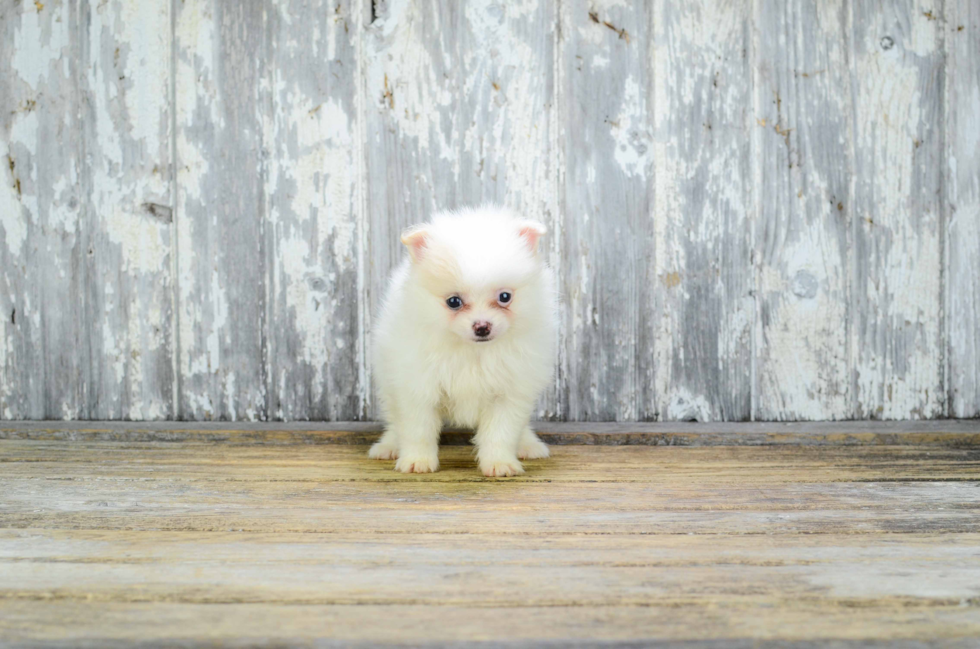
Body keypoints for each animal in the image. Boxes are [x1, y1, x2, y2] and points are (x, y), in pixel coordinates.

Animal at [368, 208, 556, 476]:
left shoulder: (509, 391)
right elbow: (417, 429)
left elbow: (502, 432)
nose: (482, 327)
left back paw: (528, 444)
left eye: (505, 297)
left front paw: (499, 463)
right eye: (454, 302)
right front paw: (417, 461)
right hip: (388, 380)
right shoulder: (418, 386)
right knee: (395, 419)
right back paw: (389, 446)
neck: (472, 351)